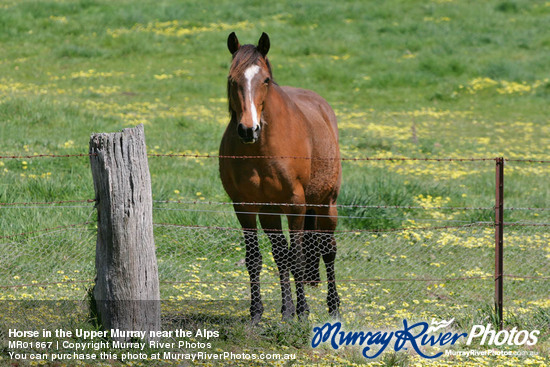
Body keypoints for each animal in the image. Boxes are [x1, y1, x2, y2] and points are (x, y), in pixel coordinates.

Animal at [219, 33, 340, 324]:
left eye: (265, 80)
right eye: (232, 79)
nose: (248, 129)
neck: (261, 150)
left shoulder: (295, 204)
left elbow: (297, 258)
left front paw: (303, 312)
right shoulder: (245, 206)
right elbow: (257, 259)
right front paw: (258, 312)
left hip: (326, 204)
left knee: (328, 250)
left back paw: (333, 306)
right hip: (271, 213)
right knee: (281, 254)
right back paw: (287, 309)